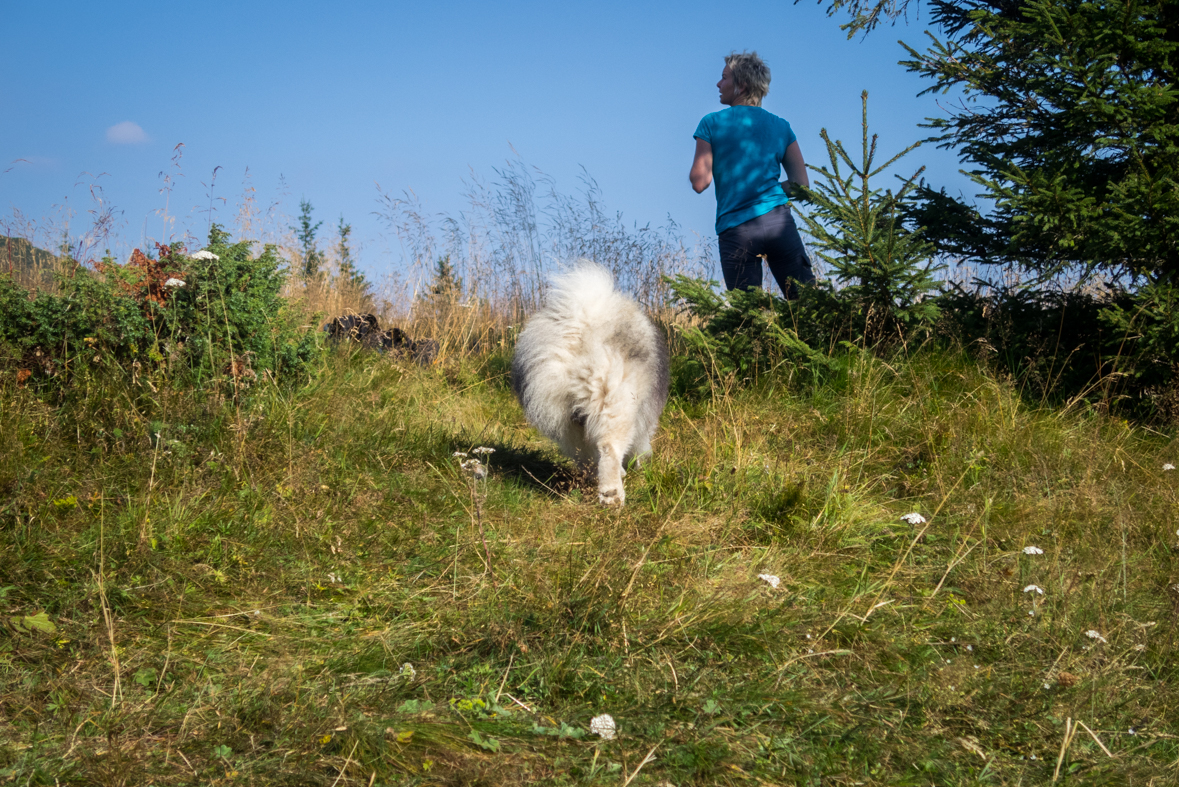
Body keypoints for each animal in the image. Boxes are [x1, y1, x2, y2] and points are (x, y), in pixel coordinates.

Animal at [511, 259, 669, 504]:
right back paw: (612, 495)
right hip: (614, 403)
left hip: (562, 417)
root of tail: (579, 327)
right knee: (609, 448)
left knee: (585, 454)